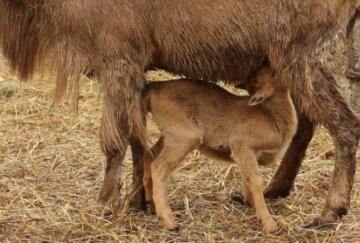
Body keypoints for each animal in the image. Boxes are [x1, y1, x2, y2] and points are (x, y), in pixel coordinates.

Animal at [143, 68, 298, 234]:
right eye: (271, 75)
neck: (269, 113)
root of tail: (154, 89)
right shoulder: (242, 146)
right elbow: (255, 180)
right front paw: (269, 224)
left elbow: (246, 178)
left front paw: (250, 204)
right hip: (182, 137)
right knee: (158, 167)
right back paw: (169, 221)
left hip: (169, 135)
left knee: (149, 156)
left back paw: (151, 204)